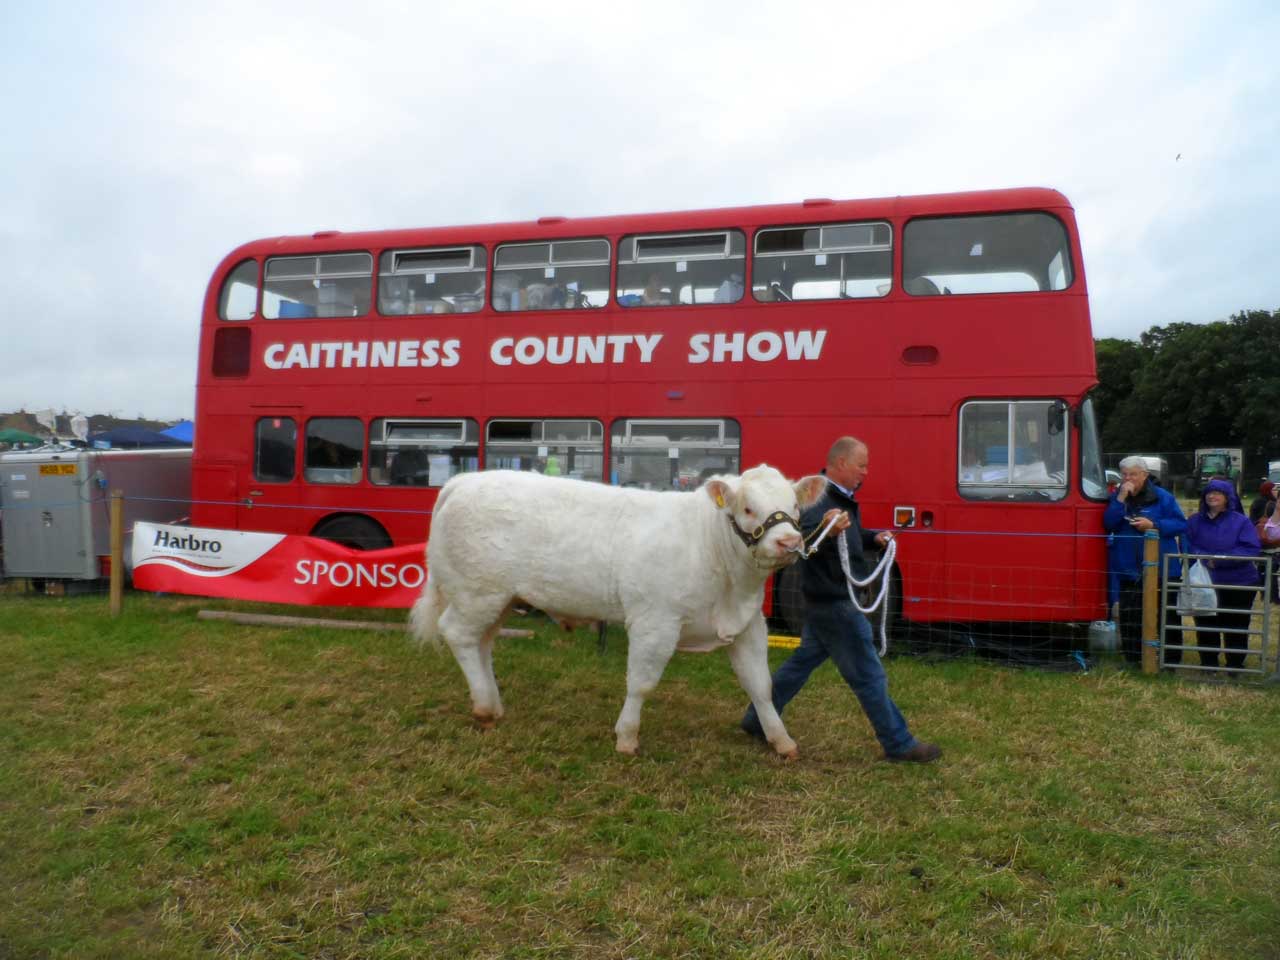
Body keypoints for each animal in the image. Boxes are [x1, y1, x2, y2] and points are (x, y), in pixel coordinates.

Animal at [412, 465, 829, 757]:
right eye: (747, 507)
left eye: (795, 507)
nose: (789, 541)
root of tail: (464, 481)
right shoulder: (655, 621)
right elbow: (641, 682)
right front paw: (627, 737)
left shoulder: (749, 625)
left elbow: (761, 686)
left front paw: (781, 740)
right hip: (477, 592)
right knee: (459, 635)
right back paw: (484, 707)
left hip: (499, 598)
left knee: (482, 643)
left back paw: (493, 704)